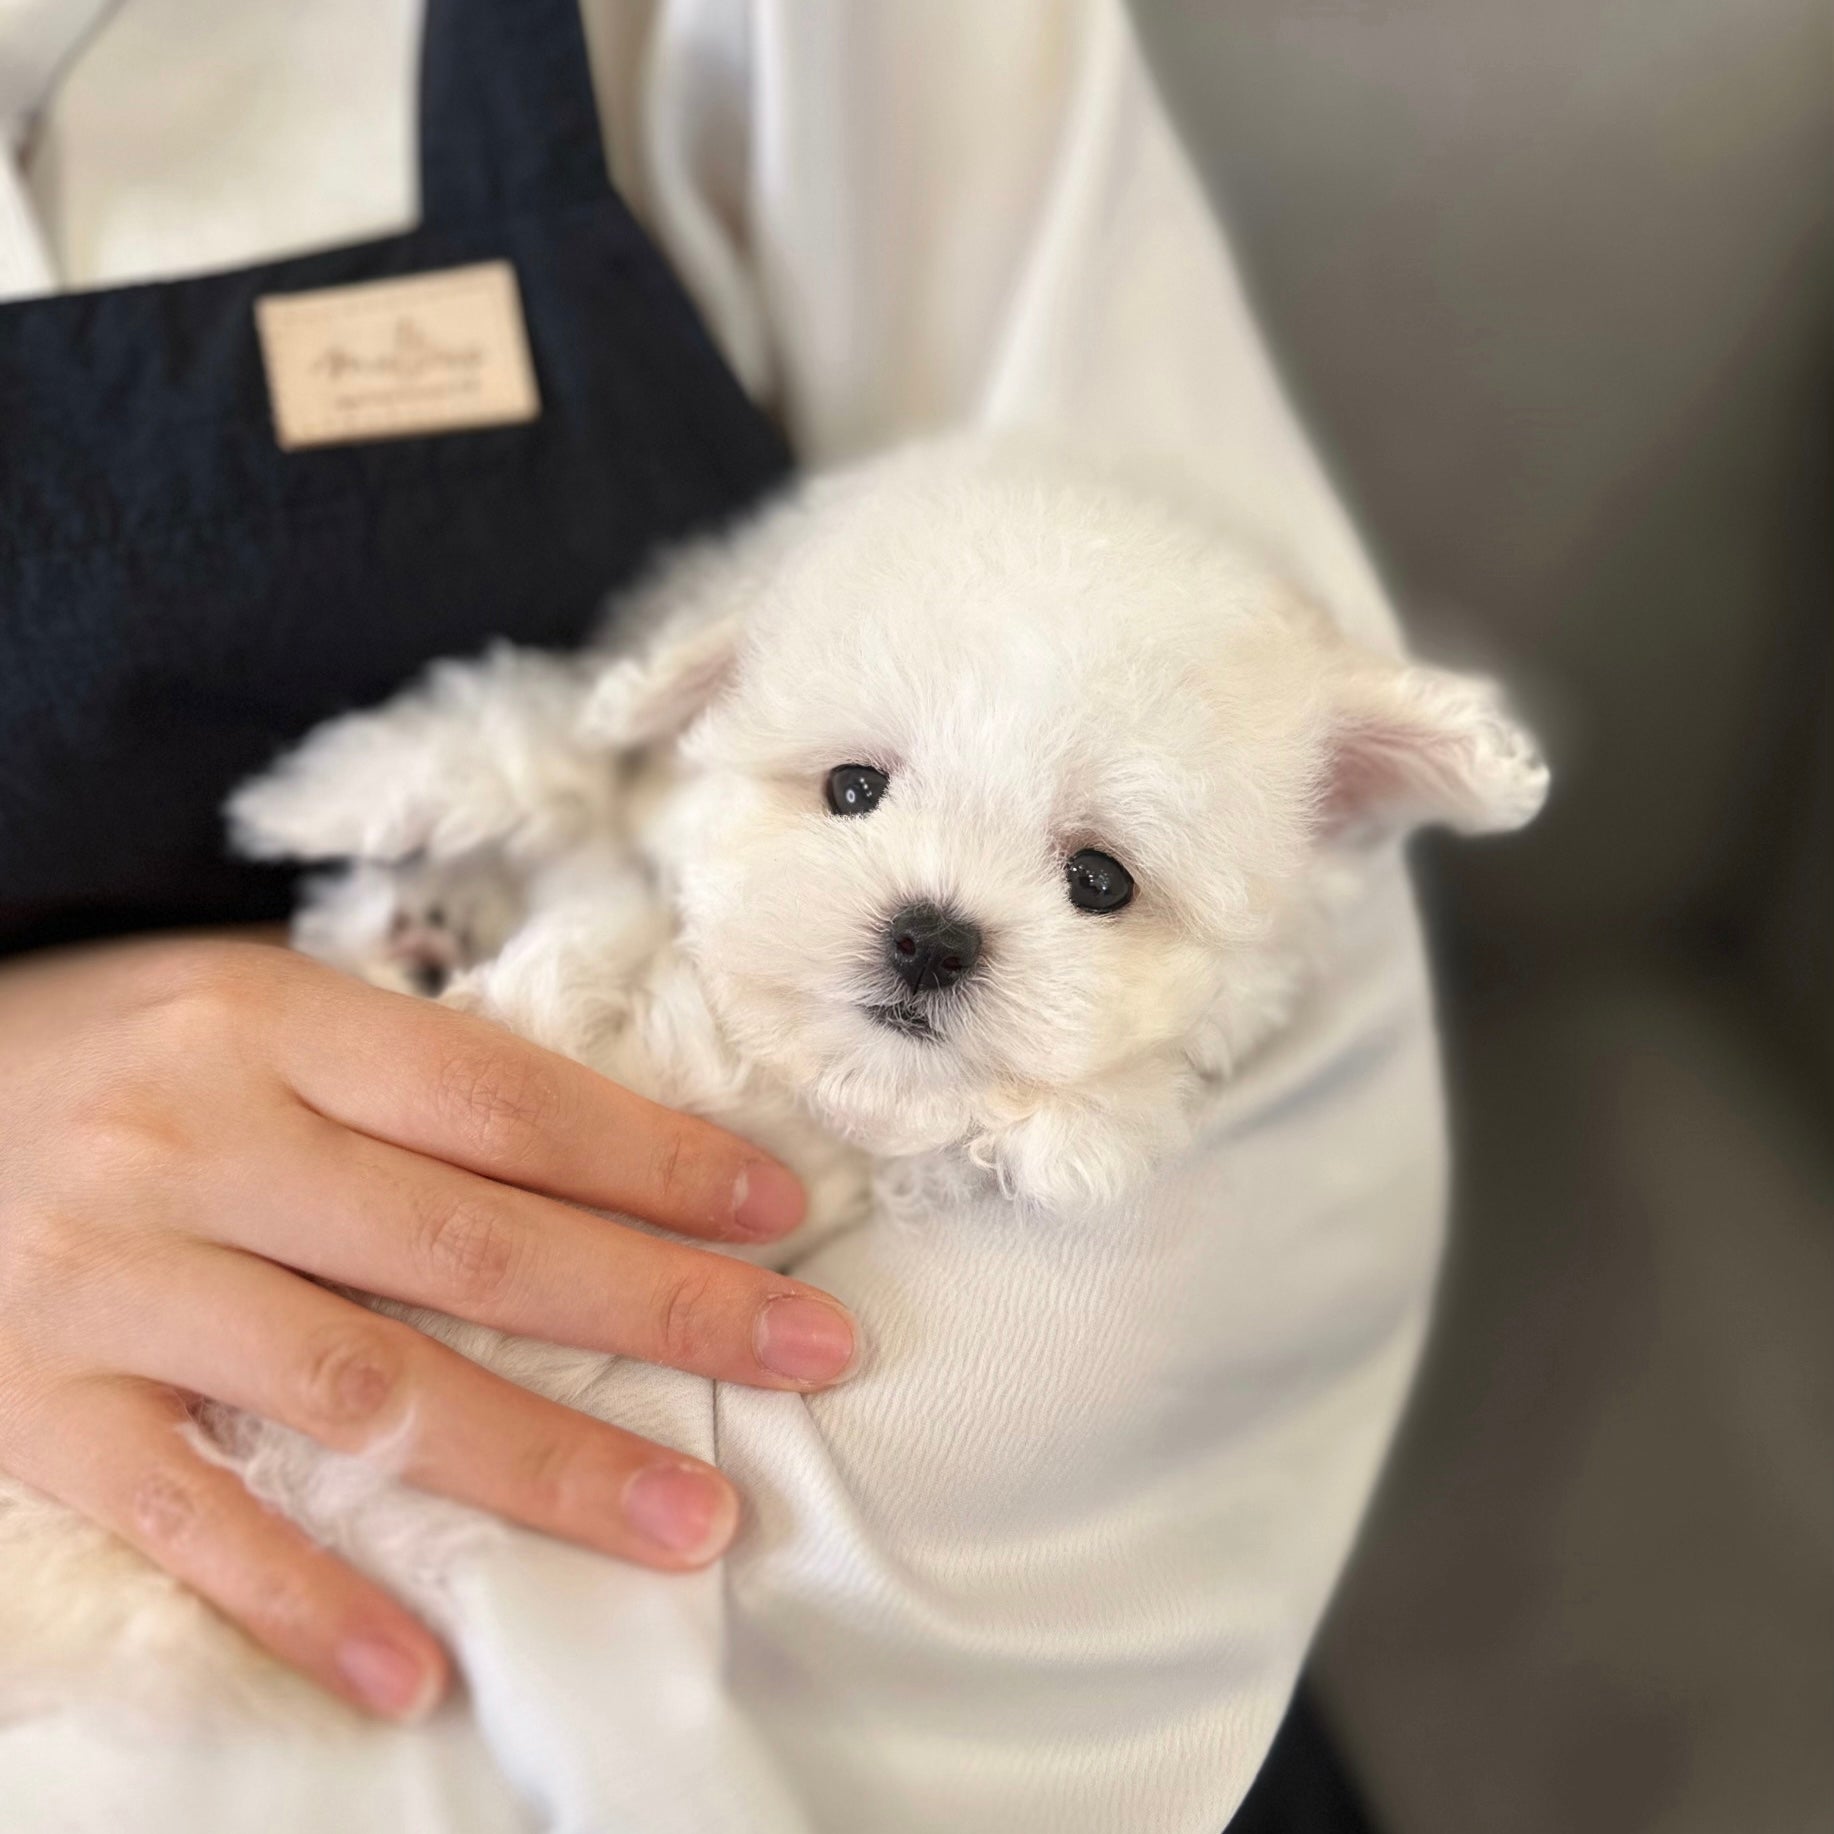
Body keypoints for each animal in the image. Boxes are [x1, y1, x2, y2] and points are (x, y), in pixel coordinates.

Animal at [0, 440, 1547, 1716]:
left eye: (1100, 880)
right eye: (853, 788)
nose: (929, 932)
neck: (766, 1052)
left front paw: (1067, 1132)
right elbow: (564, 757)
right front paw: (341, 804)